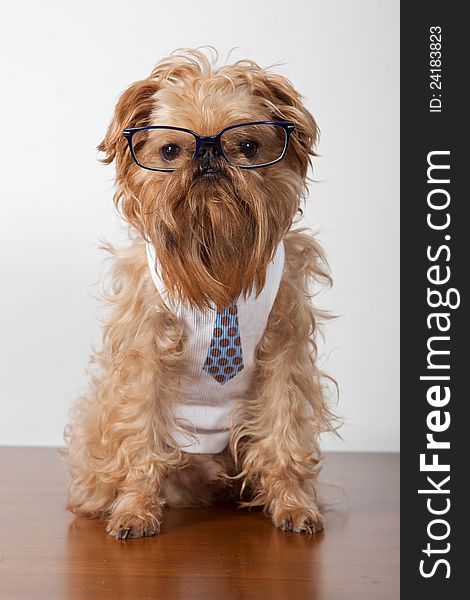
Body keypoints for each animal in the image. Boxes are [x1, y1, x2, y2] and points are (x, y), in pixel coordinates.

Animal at [62, 48, 336, 540]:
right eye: (170, 150)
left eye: (248, 147)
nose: (207, 152)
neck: (217, 259)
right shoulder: (144, 355)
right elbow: (139, 432)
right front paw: (135, 509)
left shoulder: (284, 348)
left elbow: (283, 429)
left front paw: (292, 503)